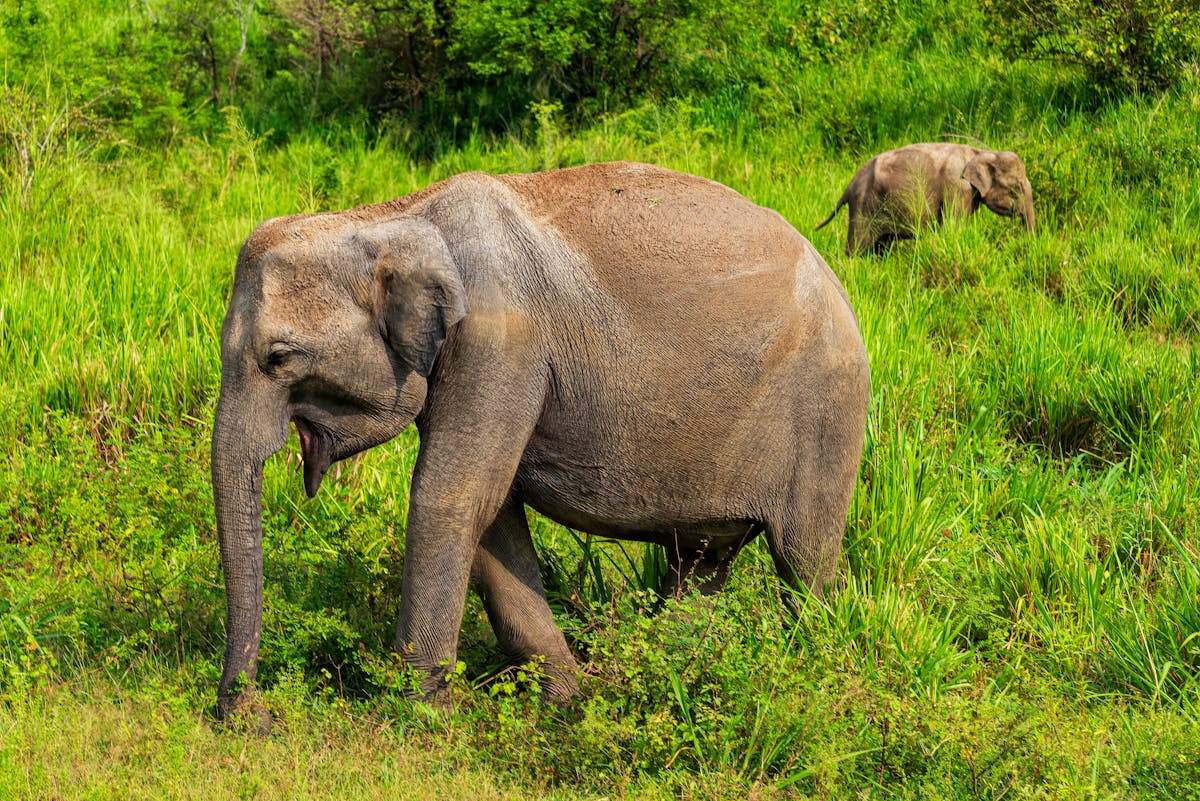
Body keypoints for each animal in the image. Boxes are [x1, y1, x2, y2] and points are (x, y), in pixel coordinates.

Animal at [212, 161, 870, 719]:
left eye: (278, 357)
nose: (252, 718)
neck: (393, 215)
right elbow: (491, 516)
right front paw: (566, 709)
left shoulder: (500, 343)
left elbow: (451, 499)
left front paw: (420, 719)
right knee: (702, 564)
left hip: (829, 413)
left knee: (805, 563)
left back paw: (814, 671)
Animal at [815, 143, 1035, 255]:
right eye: (1015, 189)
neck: (980, 152)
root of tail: (851, 183)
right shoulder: (957, 188)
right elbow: (953, 228)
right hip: (863, 207)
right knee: (858, 246)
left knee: (881, 246)